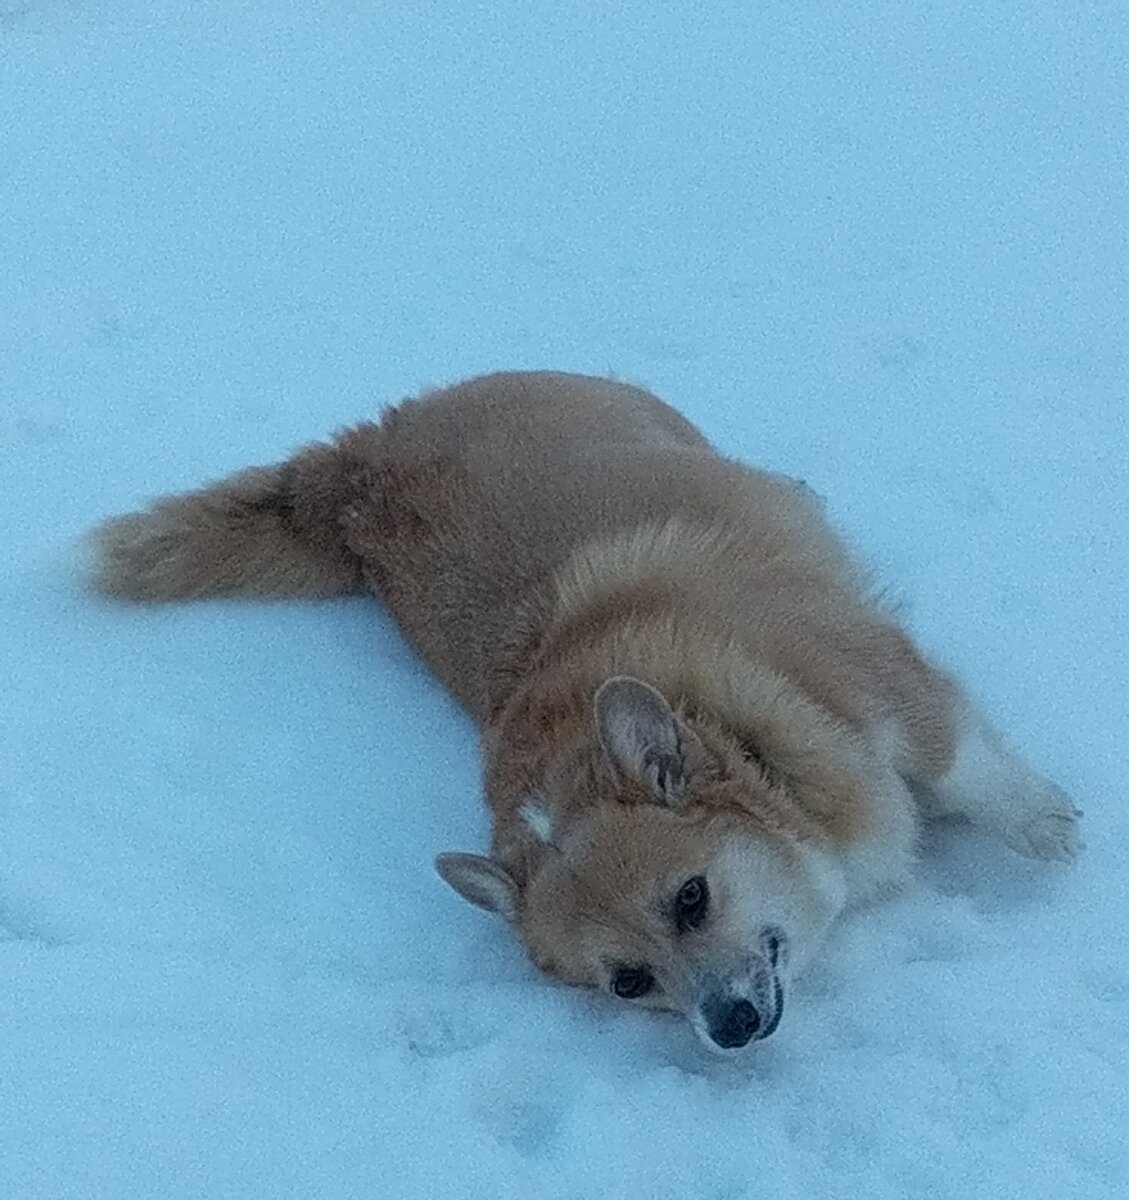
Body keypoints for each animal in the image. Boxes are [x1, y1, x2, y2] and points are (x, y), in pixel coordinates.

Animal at [85, 367, 1075, 1051]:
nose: (729, 1026)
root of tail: (362, 461)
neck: (747, 741)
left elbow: (971, 772)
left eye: (690, 897)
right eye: (629, 984)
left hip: (654, 423)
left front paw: (1048, 830)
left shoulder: (887, 691)